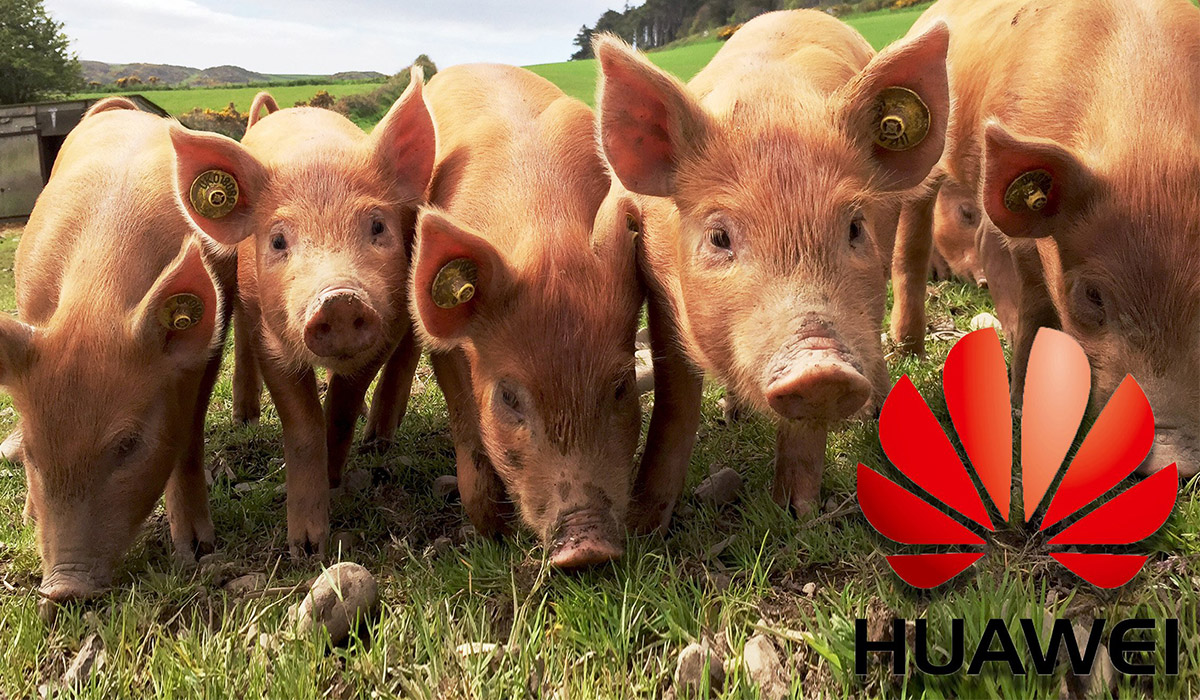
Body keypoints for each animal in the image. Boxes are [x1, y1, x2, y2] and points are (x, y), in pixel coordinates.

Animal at [0, 97, 266, 601]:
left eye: (128, 443)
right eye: (33, 452)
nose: (63, 590)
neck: (96, 300)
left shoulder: (204, 353)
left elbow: (187, 440)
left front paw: (197, 550)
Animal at [230, 69, 435, 557]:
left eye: (377, 225)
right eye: (278, 240)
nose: (340, 299)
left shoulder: (386, 329)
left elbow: (341, 407)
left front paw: (336, 478)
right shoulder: (271, 336)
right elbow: (302, 424)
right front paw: (306, 550)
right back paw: (244, 418)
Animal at [392, 64, 642, 567]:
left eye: (622, 385)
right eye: (508, 397)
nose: (587, 544)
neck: (545, 231)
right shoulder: (448, 354)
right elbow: (468, 436)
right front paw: (494, 534)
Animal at [594, 10, 951, 531]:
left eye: (855, 226)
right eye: (719, 237)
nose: (820, 362)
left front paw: (795, 515)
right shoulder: (659, 286)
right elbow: (676, 401)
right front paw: (645, 528)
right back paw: (733, 415)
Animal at [889, 0, 1200, 476]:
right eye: (1092, 295)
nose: (1173, 460)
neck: (1152, 136)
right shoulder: (1032, 241)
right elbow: (1038, 304)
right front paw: (1021, 407)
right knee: (913, 241)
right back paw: (908, 352)